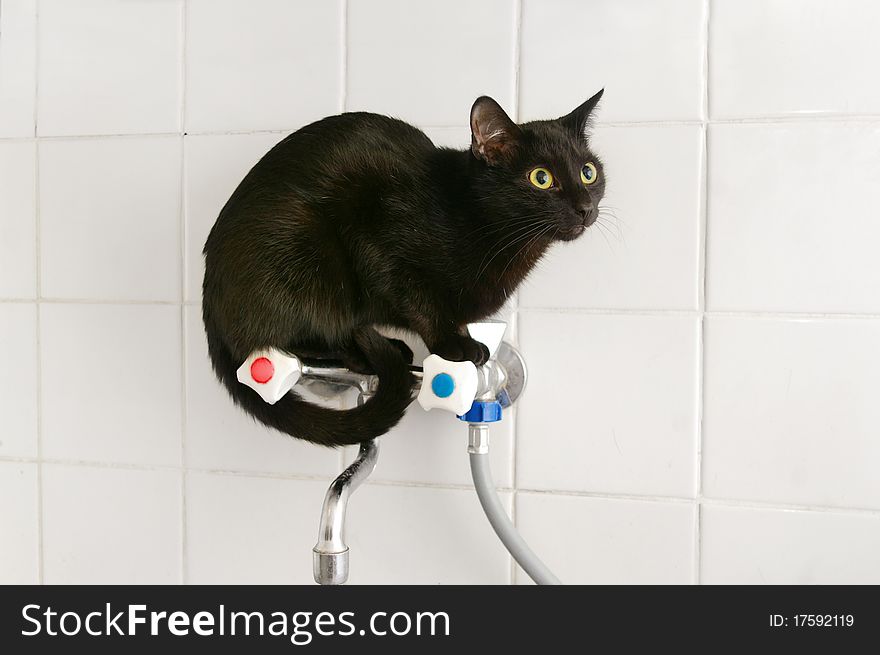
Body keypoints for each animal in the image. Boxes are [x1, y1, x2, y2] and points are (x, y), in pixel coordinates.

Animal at [202, 89, 604, 448]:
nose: (586, 208)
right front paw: (456, 346)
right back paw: (365, 352)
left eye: (588, 173)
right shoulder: (381, 244)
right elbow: (421, 305)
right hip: (310, 255)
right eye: (541, 178)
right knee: (284, 338)